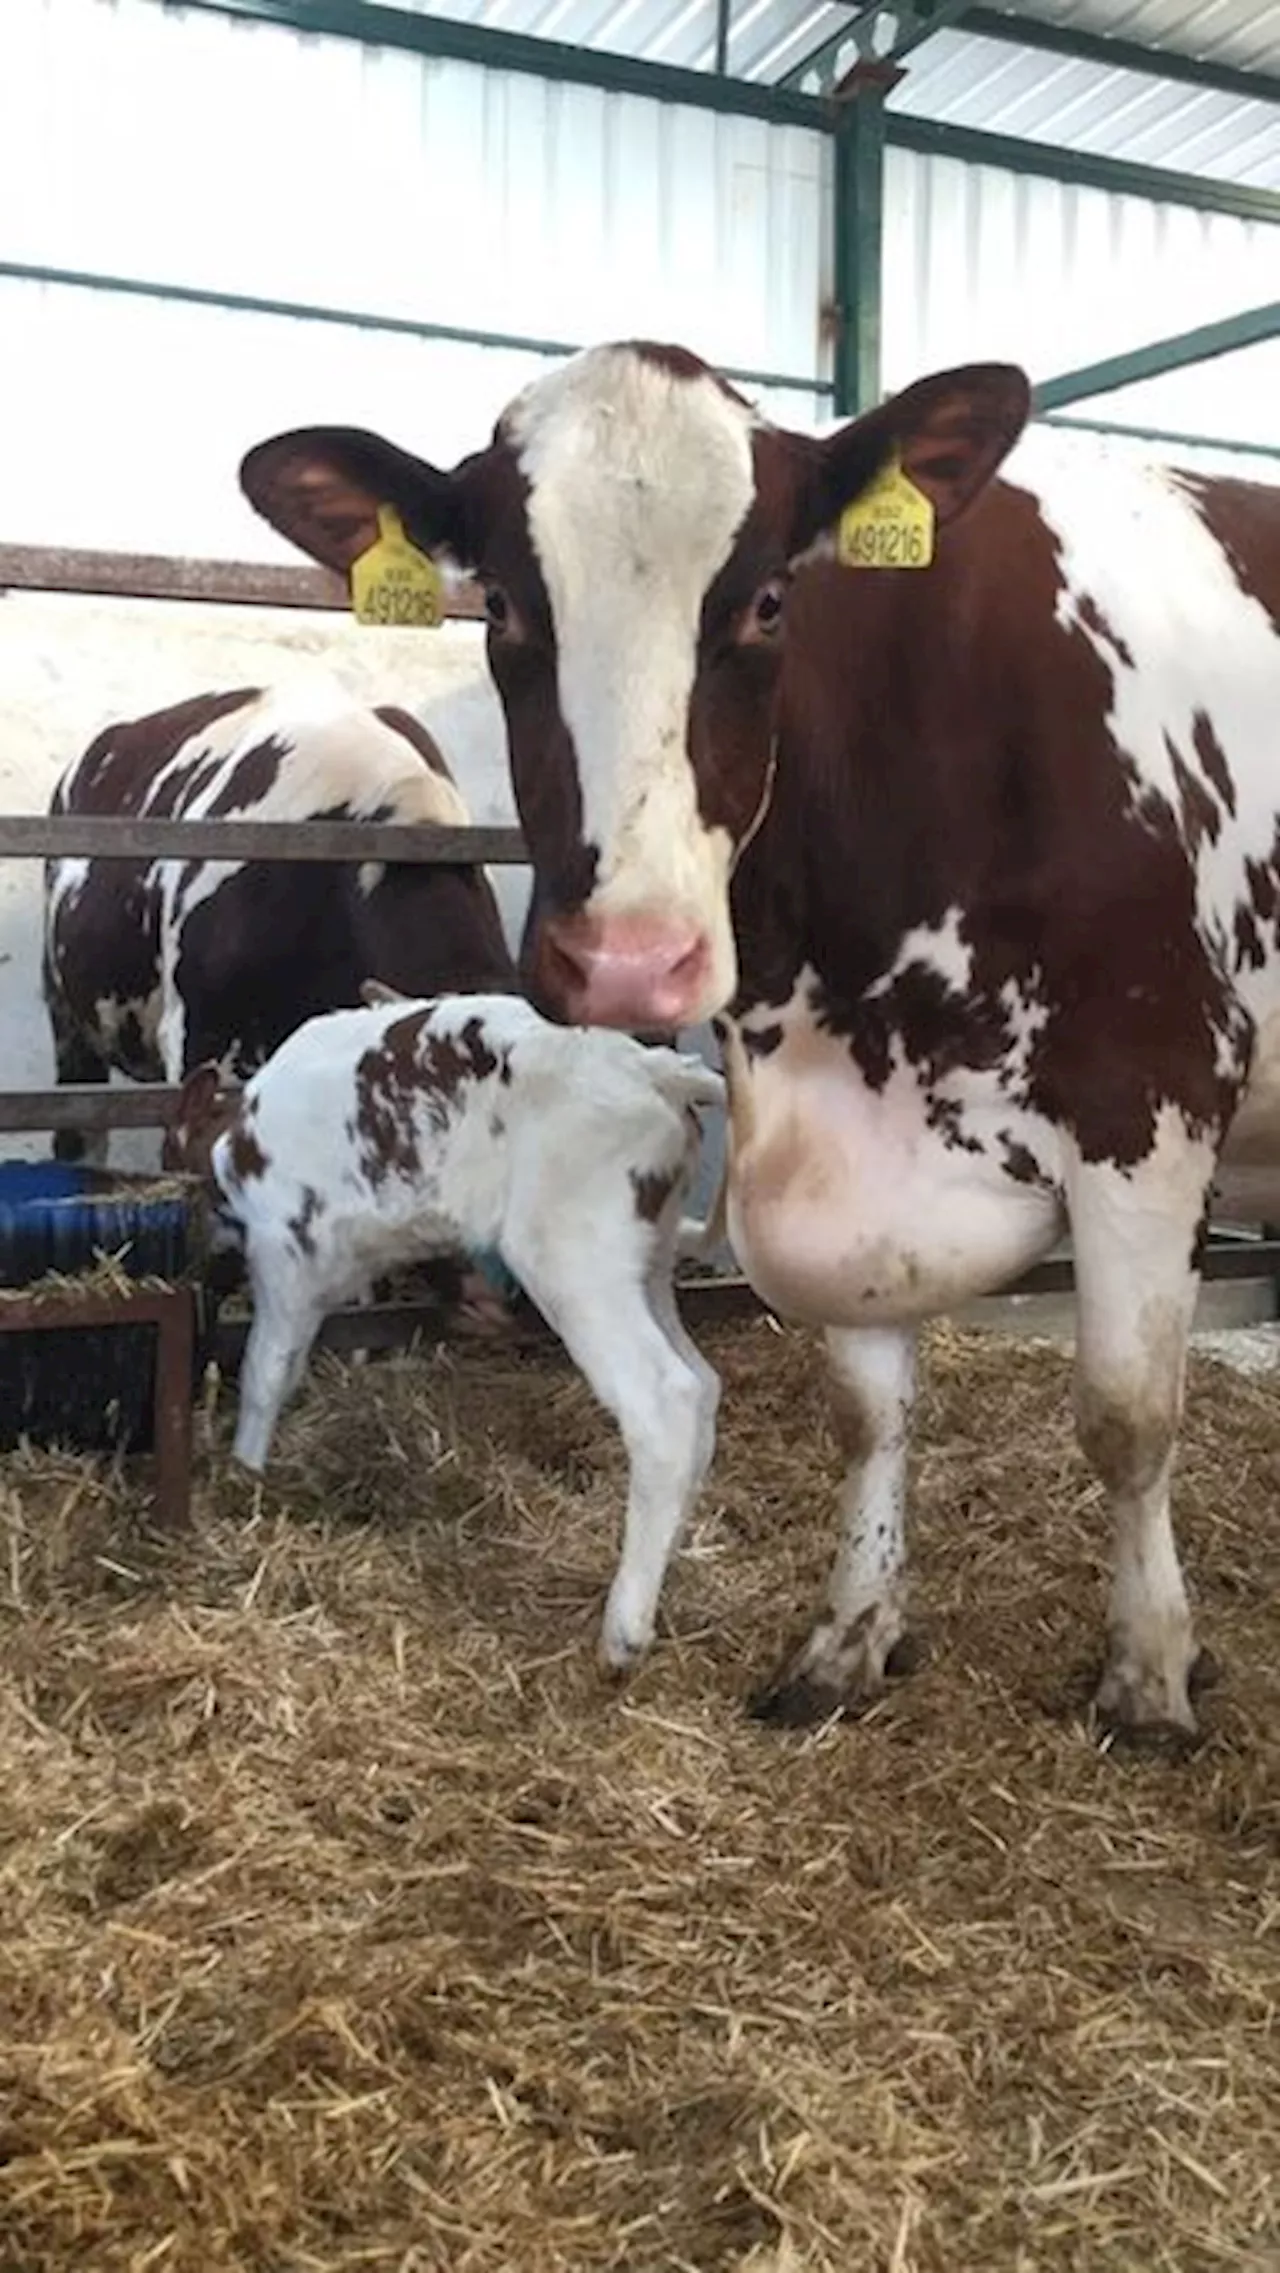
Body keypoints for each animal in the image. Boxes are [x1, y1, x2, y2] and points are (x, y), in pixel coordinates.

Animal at [164, 991, 727, 1672]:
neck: (238, 1138)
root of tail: (653, 1069)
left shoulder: (284, 1256)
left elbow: (264, 1371)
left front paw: (244, 1472)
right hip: (647, 1264)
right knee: (701, 1384)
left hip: (573, 1257)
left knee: (662, 1398)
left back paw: (624, 1629)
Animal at [237, 345, 1280, 1745]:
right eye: (500, 603)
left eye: (772, 599)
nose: (630, 958)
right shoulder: (828, 1143)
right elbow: (865, 1410)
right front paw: (845, 1638)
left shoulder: (1149, 1100)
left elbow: (1124, 1413)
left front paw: (1151, 1673)